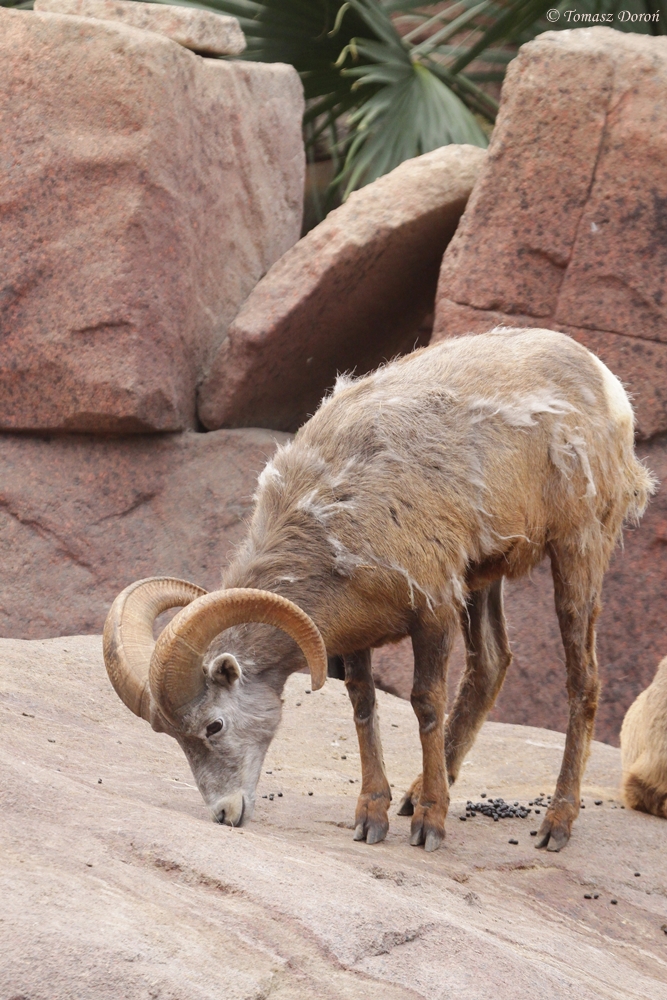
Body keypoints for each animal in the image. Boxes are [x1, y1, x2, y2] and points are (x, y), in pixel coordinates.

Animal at [104, 327, 655, 852]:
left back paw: (555, 825)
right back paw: (415, 794)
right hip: (485, 576)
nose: (225, 812)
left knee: (583, 681)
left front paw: (431, 825)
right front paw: (372, 817)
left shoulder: (434, 612)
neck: (333, 515)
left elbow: (425, 705)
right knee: (491, 665)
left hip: (578, 550)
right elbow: (364, 706)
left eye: (213, 726)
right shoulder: (358, 635)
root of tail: (606, 384)